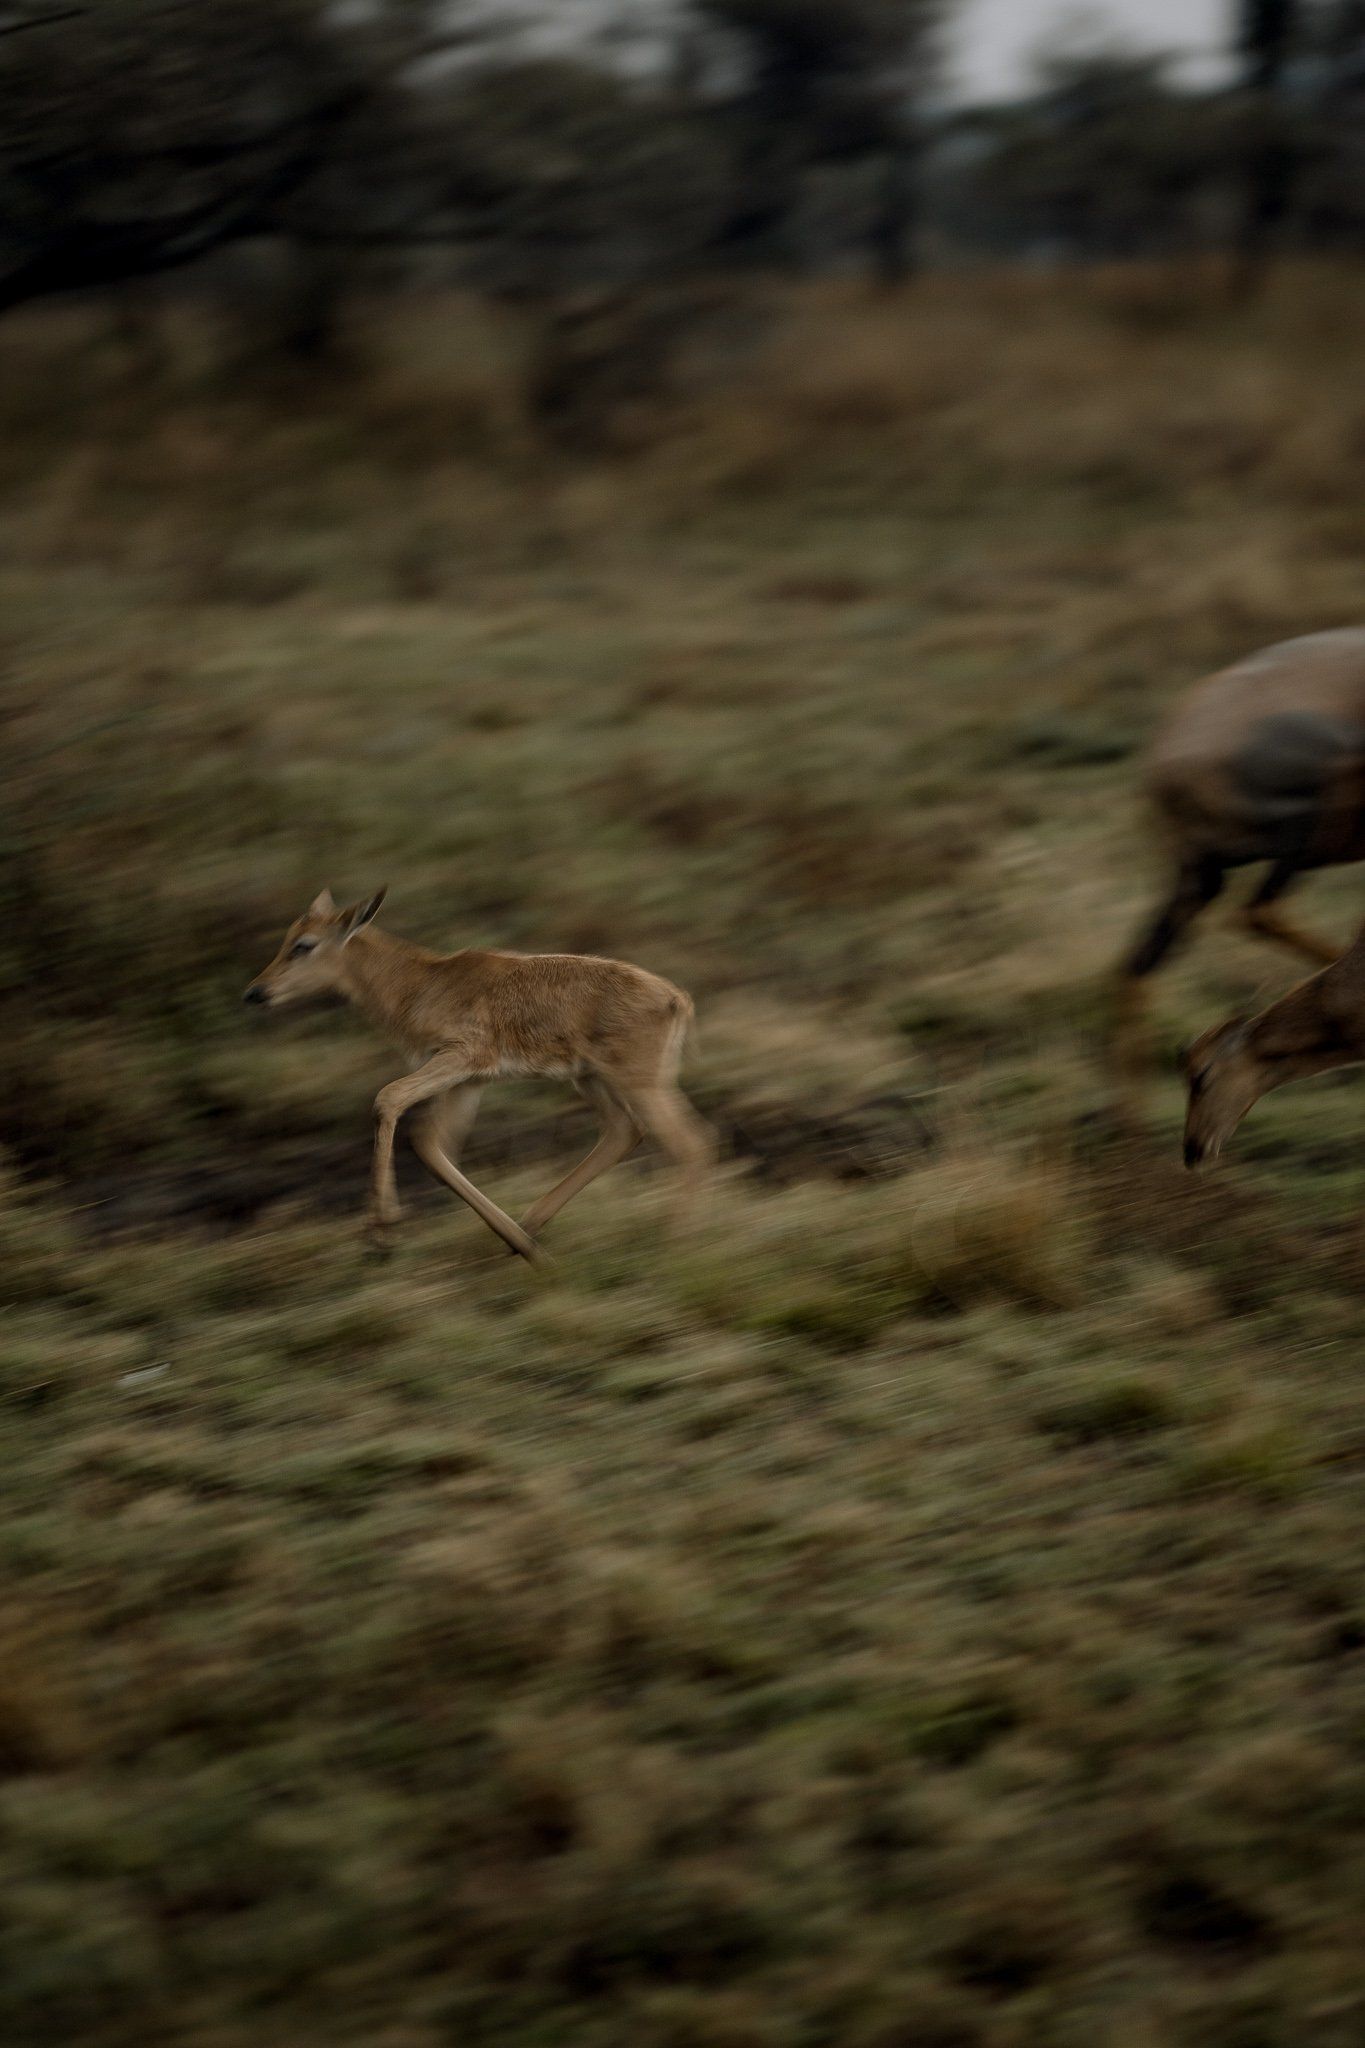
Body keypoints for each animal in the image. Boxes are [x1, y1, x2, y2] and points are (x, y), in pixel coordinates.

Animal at [243, 889, 715, 1262]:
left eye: (303, 944)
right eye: (289, 937)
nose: (255, 992)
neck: (422, 982)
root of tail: (677, 998)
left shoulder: (459, 1059)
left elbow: (388, 1099)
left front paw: (381, 1231)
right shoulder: (470, 1082)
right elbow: (432, 1144)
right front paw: (521, 1246)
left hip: (641, 1084)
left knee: (690, 1144)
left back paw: (674, 1246)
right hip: (593, 1080)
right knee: (625, 1133)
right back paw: (531, 1231)